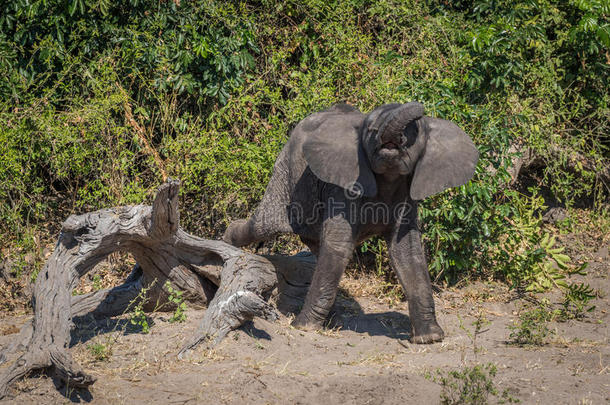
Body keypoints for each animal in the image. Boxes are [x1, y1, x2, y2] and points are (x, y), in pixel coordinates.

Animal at [223, 102, 476, 342]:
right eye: (371, 131)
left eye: (415, 135)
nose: (393, 140)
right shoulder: (345, 184)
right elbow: (339, 245)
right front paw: (303, 327)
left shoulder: (406, 194)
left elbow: (406, 250)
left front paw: (429, 338)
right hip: (286, 173)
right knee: (263, 225)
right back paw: (226, 240)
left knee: (315, 246)